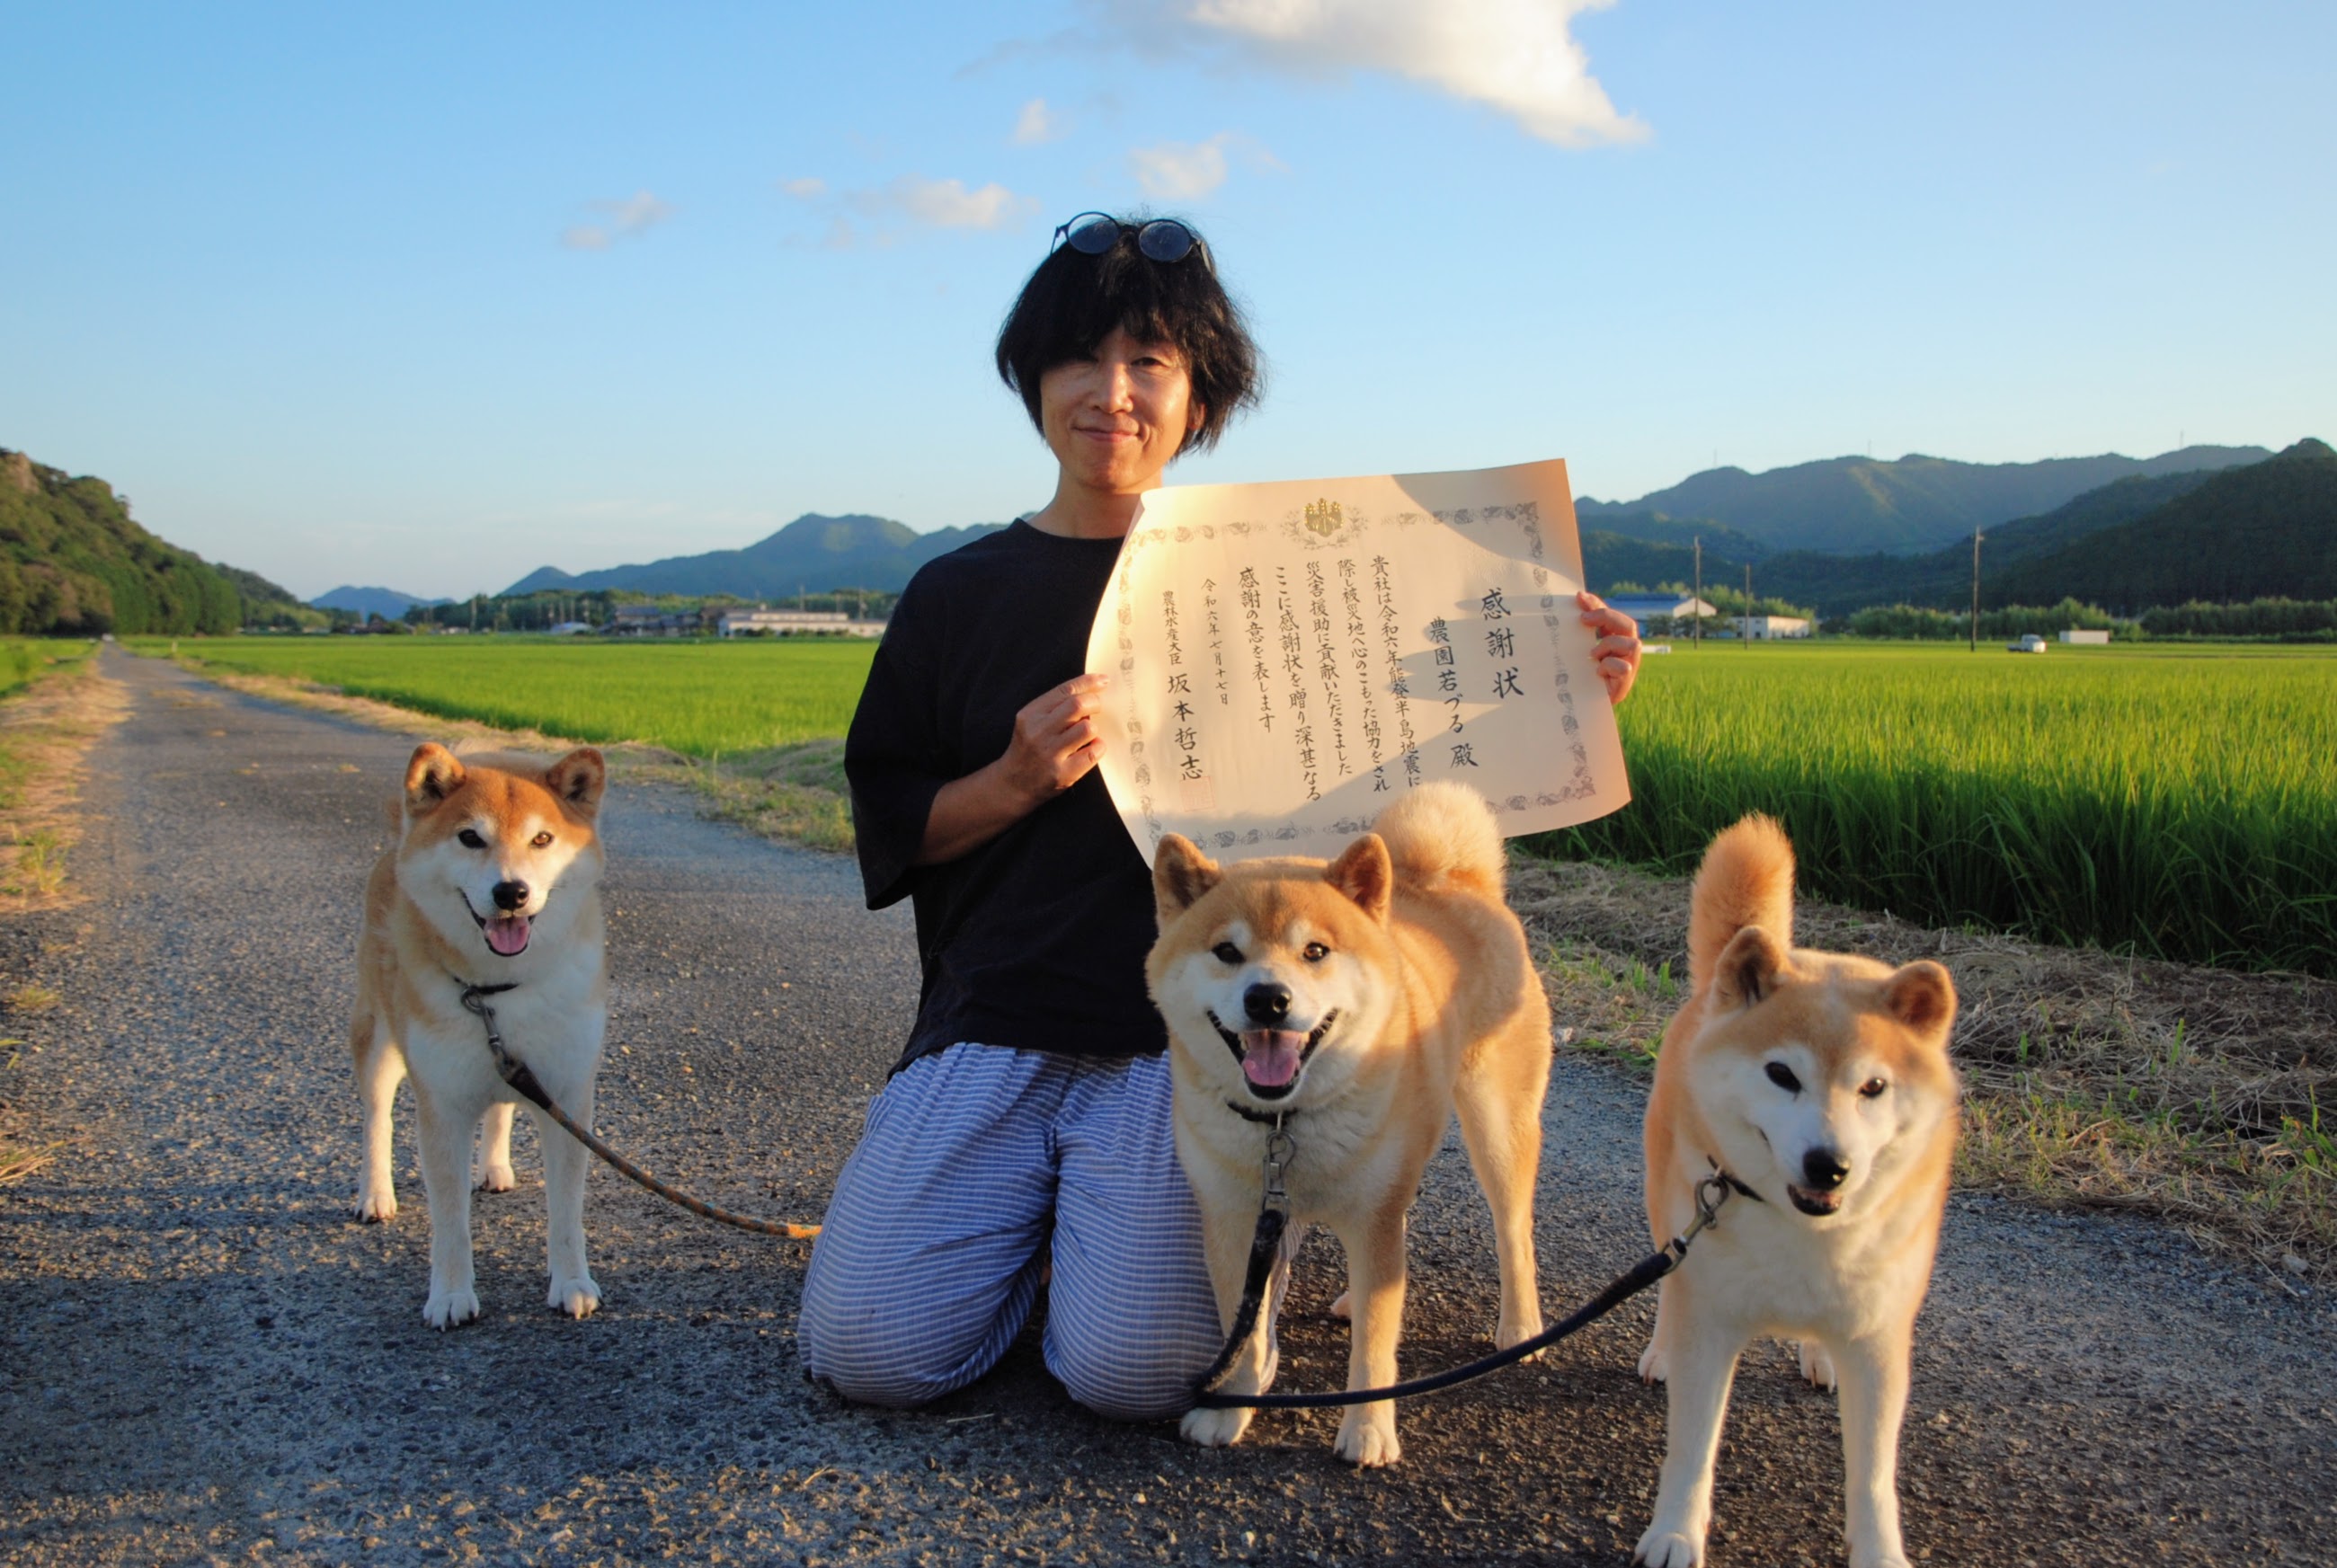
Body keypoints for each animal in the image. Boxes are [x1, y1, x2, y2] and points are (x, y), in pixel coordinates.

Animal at [348, 742, 612, 1327]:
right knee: (377, 1119)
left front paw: (571, 1282)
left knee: (501, 1107)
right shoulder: (442, 1108)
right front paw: (450, 1294)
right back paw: (375, 1195)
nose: (511, 892)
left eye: (542, 839)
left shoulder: (566, 1095)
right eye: (470, 837)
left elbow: (567, 1214)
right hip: (378, 1039)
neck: (496, 991)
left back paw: (494, 1166)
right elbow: (450, 1221)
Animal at [1145, 784, 1551, 1476]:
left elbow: (1376, 1344)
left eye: (1315, 951)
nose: (1268, 998)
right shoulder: (1233, 1219)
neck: (1287, 1122)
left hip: (1496, 1127)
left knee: (1512, 1230)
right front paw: (1231, 1409)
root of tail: (1456, 881)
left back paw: (1520, 1327)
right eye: (1227, 952)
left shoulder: (1370, 1217)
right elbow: (1243, 1329)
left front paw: (1367, 1429)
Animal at [1635, 822, 1963, 1568]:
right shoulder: (1711, 1319)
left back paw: (1818, 1356)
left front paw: (1880, 1553)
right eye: (1781, 1073)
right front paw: (1674, 1532)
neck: (1804, 1233)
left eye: (1874, 1086)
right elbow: (1690, 1450)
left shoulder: (1879, 1339)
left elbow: (1872, 1476)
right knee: (1668, 1278)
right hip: (1666, 1205)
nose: (1830, 1164)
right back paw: (1662, 1349)